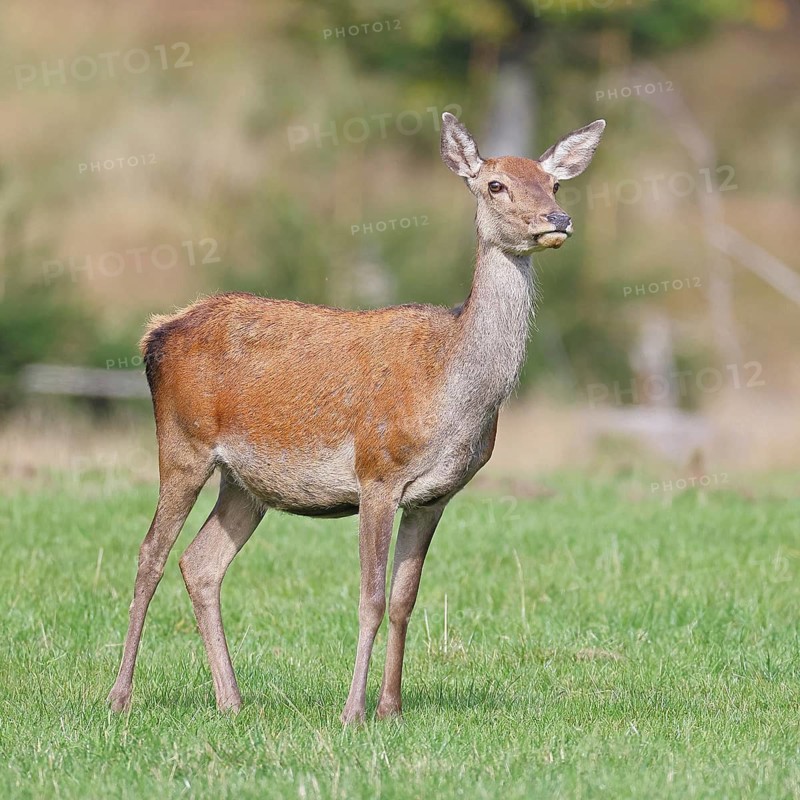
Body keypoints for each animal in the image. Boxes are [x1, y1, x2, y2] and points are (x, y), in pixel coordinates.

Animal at [107, 112, 605, 723]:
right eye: (496, 184)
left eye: (554, 183)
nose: (556, 219)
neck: (453, 394)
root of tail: (155, 333)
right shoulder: (377, 473)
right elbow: (369, 598)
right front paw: (353, 712)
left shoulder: (436, 496)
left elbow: (403, 599)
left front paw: (391, 707)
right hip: (182, 445)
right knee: (150, 555)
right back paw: (120, 696)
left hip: (245, 483)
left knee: (200, 564)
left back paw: (233, 701)